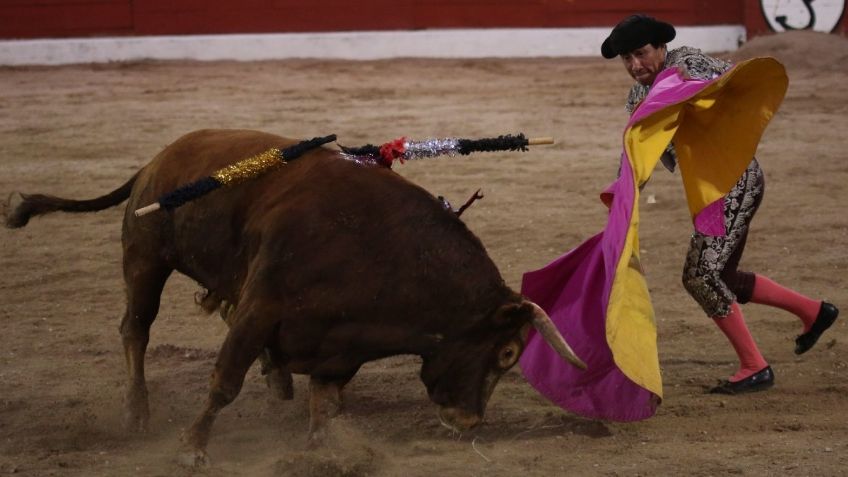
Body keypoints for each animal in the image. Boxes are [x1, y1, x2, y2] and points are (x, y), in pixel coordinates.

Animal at [3, 128, 588, 462]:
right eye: (507, 352)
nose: (469, 422)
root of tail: (157, 160)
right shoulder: (262, 310)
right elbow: (224, 383)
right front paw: (192, 449)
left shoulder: (340, 345)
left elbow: (324, 406)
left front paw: (326, 452)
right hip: (146, 259)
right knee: (136, 329)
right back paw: (137, 412)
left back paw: (275, 380)